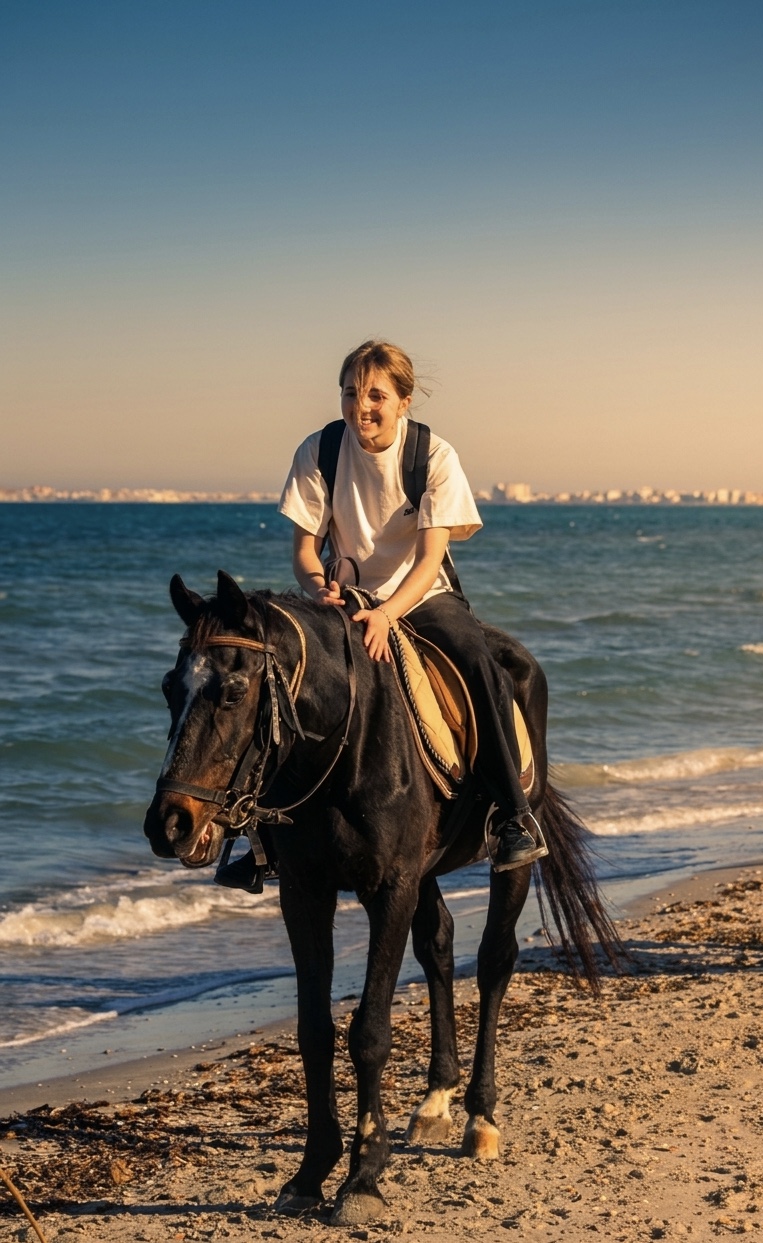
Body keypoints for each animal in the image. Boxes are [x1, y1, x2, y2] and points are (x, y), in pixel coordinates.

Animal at [143, 570, 622, 1226]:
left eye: (234, 693)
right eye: (171, 688)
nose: (169, 825)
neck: (344, 744)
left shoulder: (389, 889)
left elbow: (369, 1031)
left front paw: (363, 1177)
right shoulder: (307, 894)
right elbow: (314, 1030)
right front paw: (311, 1172)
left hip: (509, 859)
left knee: (495, 962)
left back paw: (480, 1117)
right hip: (427, 873)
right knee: (439, 947)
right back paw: (435, 1100)